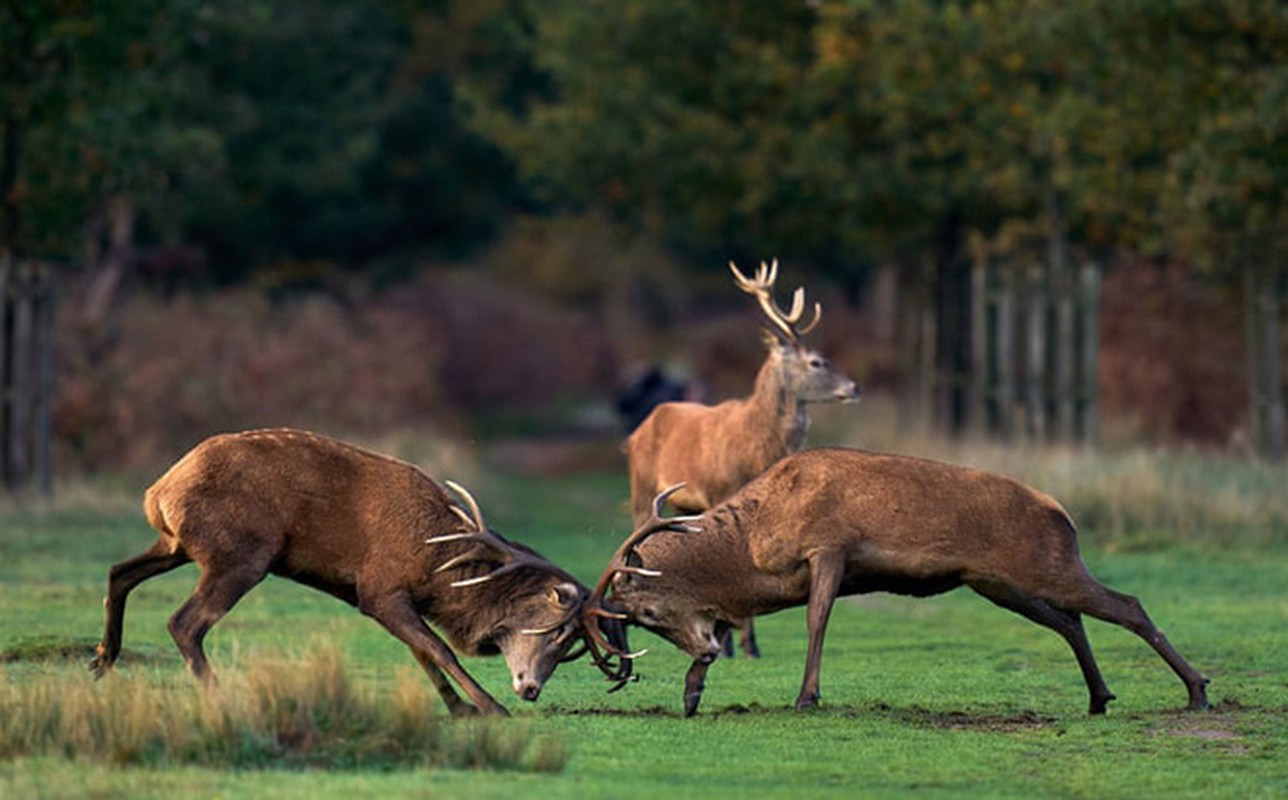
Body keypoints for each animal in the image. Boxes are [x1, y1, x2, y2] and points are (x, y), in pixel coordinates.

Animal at [89, 430, 633, 716]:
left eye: (570, 642)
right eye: (558, 631)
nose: (530, 688)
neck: (439, 569)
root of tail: (157, 492)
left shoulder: (367, 597)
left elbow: (420, 650)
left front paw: (457, 708)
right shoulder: (380, 589)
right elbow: (436, 647)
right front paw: (488, 707)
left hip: (179, 544)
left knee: (120, 572)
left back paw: (103, 657)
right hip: (241, 555)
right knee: (184, 622)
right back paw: (219, 696)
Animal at [589, 445, 1210, 716]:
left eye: (646, 612)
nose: (699, 653)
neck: (754, 547)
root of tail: (1065, 514)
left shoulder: (830, 548)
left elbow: (816, 622)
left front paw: (806, 696)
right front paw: (692, 693)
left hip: (1045, 566)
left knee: (1127, 604)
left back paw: (1197, 691)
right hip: (999, 584)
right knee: (1071, 620)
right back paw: (1100, 697)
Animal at [620, 261, 855, 654]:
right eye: (816, 361)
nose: (855, 387)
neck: (757, 447)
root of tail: (639, 428)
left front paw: (743, 644)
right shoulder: (722, 489)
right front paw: (739, 644)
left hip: (682, 503)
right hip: (643, 488)